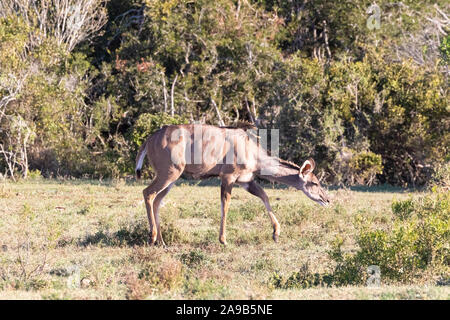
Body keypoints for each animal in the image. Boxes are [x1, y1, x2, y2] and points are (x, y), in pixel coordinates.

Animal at [135, 124, 328, 246]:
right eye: (314, 182)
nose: (326, 200)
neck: (253, 152)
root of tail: (149, 140)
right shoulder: (228, 177)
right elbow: (225, 206)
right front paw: (223, 240)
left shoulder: (246, 181)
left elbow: (265, 197)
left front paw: (275, 233)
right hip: (169, 173)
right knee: (148, 193)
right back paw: (152, 237)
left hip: (171, 178)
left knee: (157, 200)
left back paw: (162, 242)